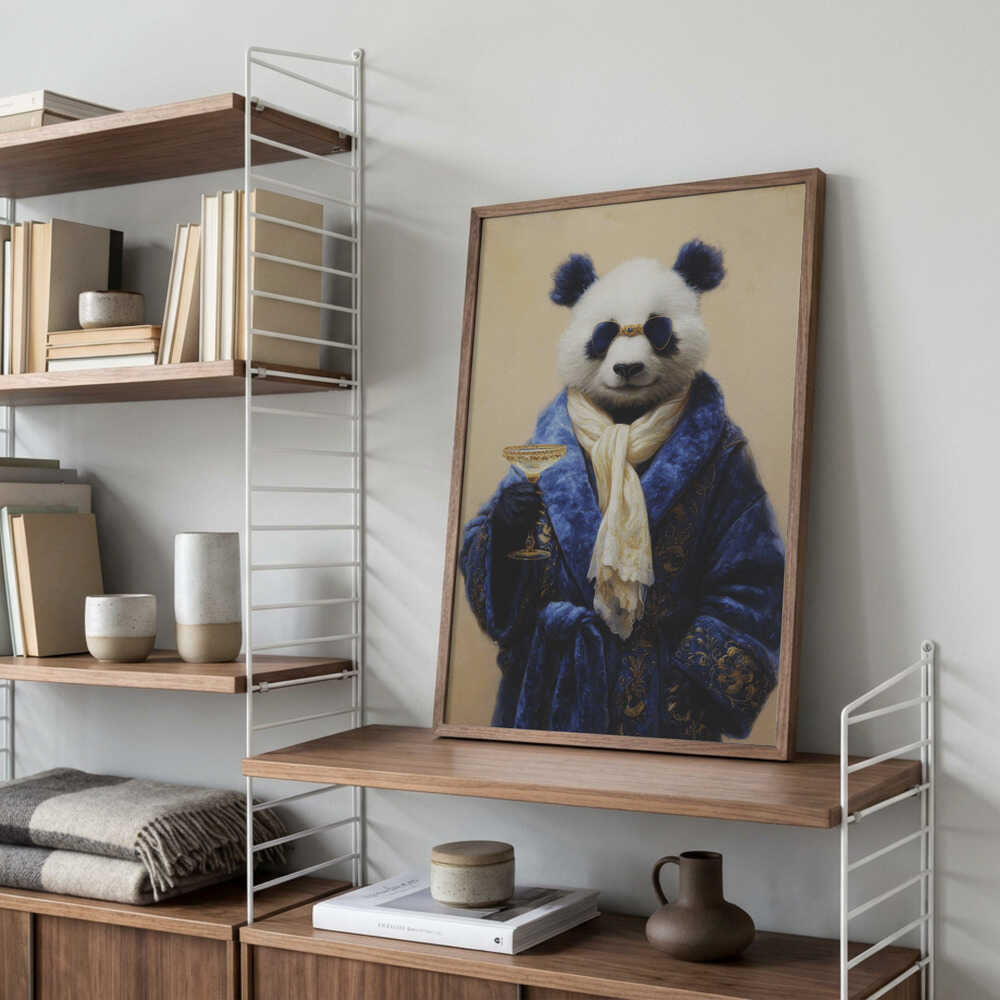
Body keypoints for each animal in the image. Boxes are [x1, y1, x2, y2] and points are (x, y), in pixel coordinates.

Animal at [460, 241, 785, 741]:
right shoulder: (529, 463)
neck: (625, 420)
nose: (628, 366)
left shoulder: (732, 455)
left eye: (658, 330)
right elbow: (477, 542)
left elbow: (749, 562)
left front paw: (689, 693)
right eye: (605, 332)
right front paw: (513, 513)